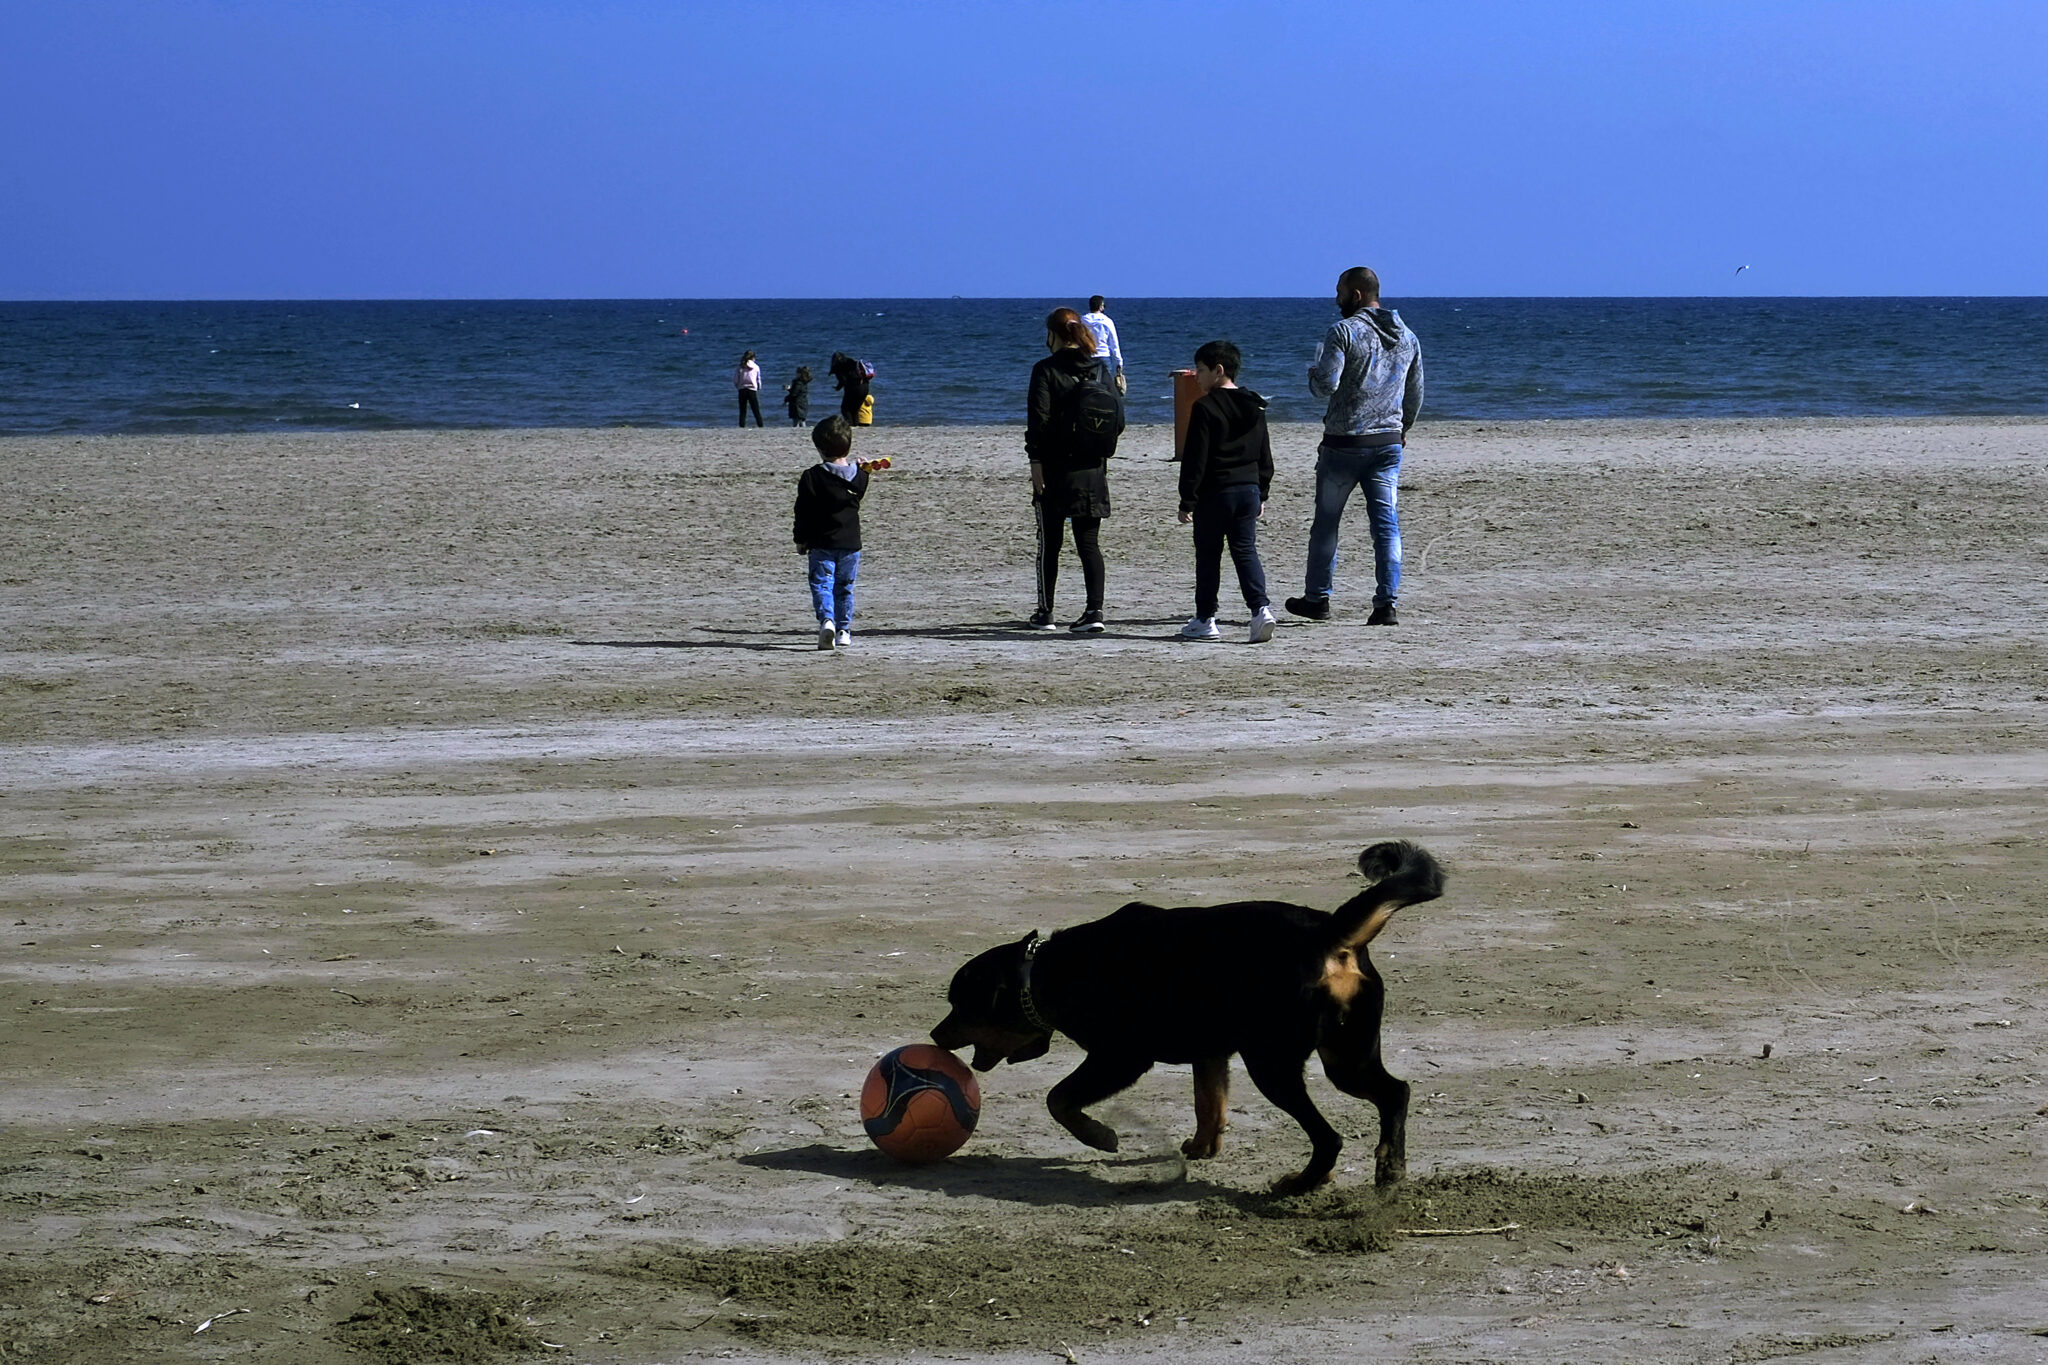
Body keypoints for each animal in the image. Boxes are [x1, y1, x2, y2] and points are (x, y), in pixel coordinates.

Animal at [929, 843, 1441, 1195]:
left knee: (1329, 1136)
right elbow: (1207, 1102)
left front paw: (1101, 1137)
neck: (1047, 973)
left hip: (1273, 1064)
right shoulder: (1210, 1052)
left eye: (961, 1006)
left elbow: (1059, 1098)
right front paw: (1202, 1148)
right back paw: (1389, 1167)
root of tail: (1328, 933)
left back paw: (1303, 1183)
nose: (934, 1035)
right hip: (1346, 1055)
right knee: (1395, 1092)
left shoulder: (1120, 1057)